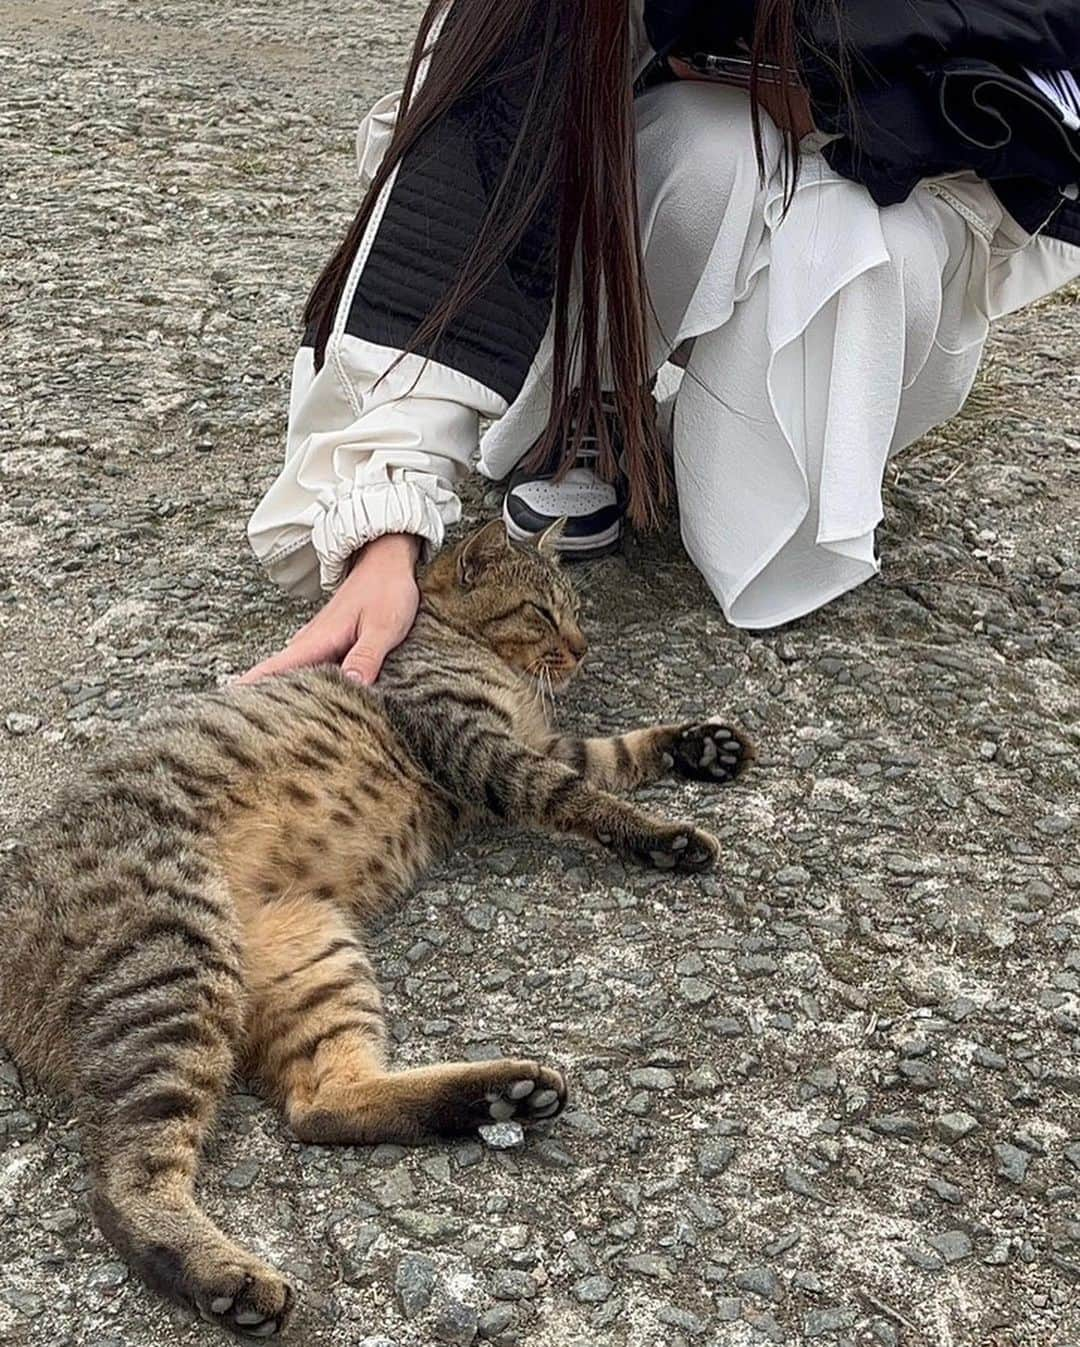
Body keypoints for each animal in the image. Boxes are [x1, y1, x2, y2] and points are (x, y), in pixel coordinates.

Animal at [0, 517, 754, 1336]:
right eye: (540, 612)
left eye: (576, 609)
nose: (583, 647)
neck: (468, 647)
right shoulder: (483, 749)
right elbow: (584, 796)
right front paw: (664, 835)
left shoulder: (543, 744)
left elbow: (615, 752)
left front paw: (698, 744)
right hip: (174, 963)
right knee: (123, 1181)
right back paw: (229, 1279)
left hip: (311, 952)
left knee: (319, 1105)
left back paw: (501, 1092)